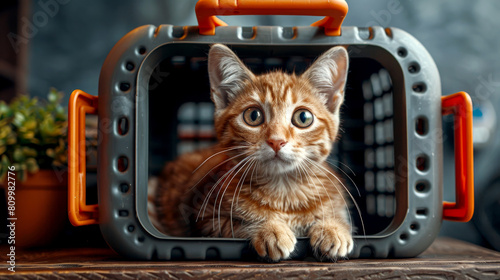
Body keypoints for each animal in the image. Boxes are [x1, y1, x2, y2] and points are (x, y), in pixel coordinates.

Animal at [154, 43, 354, 260]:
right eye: (253, 115)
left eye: (303, 117)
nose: (277, 141)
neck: (283, 191)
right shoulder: (205, 220)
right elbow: (236, 225)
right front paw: (269, 229)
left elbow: (339, 216)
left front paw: (333, 228)